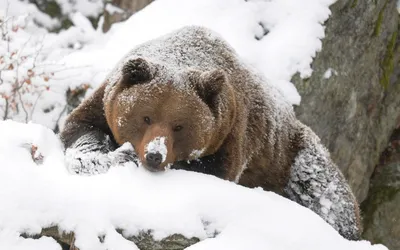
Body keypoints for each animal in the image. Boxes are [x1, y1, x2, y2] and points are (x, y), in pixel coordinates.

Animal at [60, 24, 362, 240]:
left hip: (291, 156)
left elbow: (213, 171)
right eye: (146, 117)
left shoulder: (231, 133)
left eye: (179, 125)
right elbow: (81, 129)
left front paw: (126, 157)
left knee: (326, 194)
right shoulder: (104, 102)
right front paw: (103, 156)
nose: (155, 155)